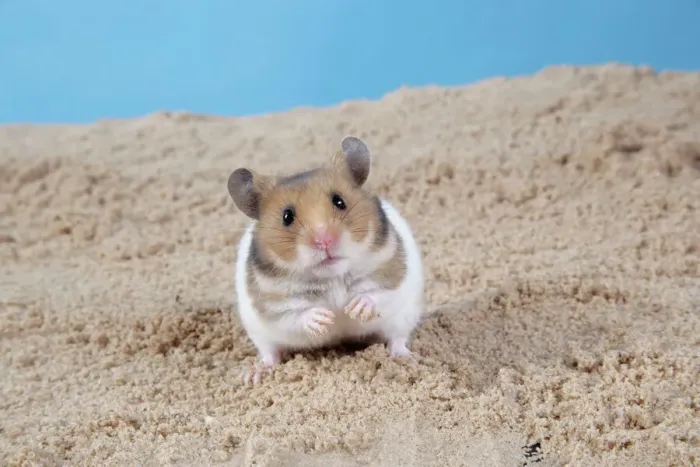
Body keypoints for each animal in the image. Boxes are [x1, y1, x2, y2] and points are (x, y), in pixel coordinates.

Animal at [227, 136, 425, 384]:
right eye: (287, 216)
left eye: (339, 201)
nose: (324, 241)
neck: (333, 276)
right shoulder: (273, 304)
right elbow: (295, 315)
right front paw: (325, 318)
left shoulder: (393, 274)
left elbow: (377, 294)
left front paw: (353, 310)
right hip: (259, 332)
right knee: (269, 354)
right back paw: (253, 374)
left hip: (405, 316)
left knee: (397, 339)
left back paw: (408, 359)